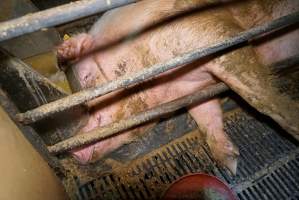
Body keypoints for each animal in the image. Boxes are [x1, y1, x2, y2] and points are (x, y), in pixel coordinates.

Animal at [57, 0, 299, 173]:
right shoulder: (195, 90)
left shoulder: (213, 34)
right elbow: (206, 116)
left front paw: (294, 124)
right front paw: (229, 164)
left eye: (86, 76)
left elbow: (259, 96)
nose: (74, 153)